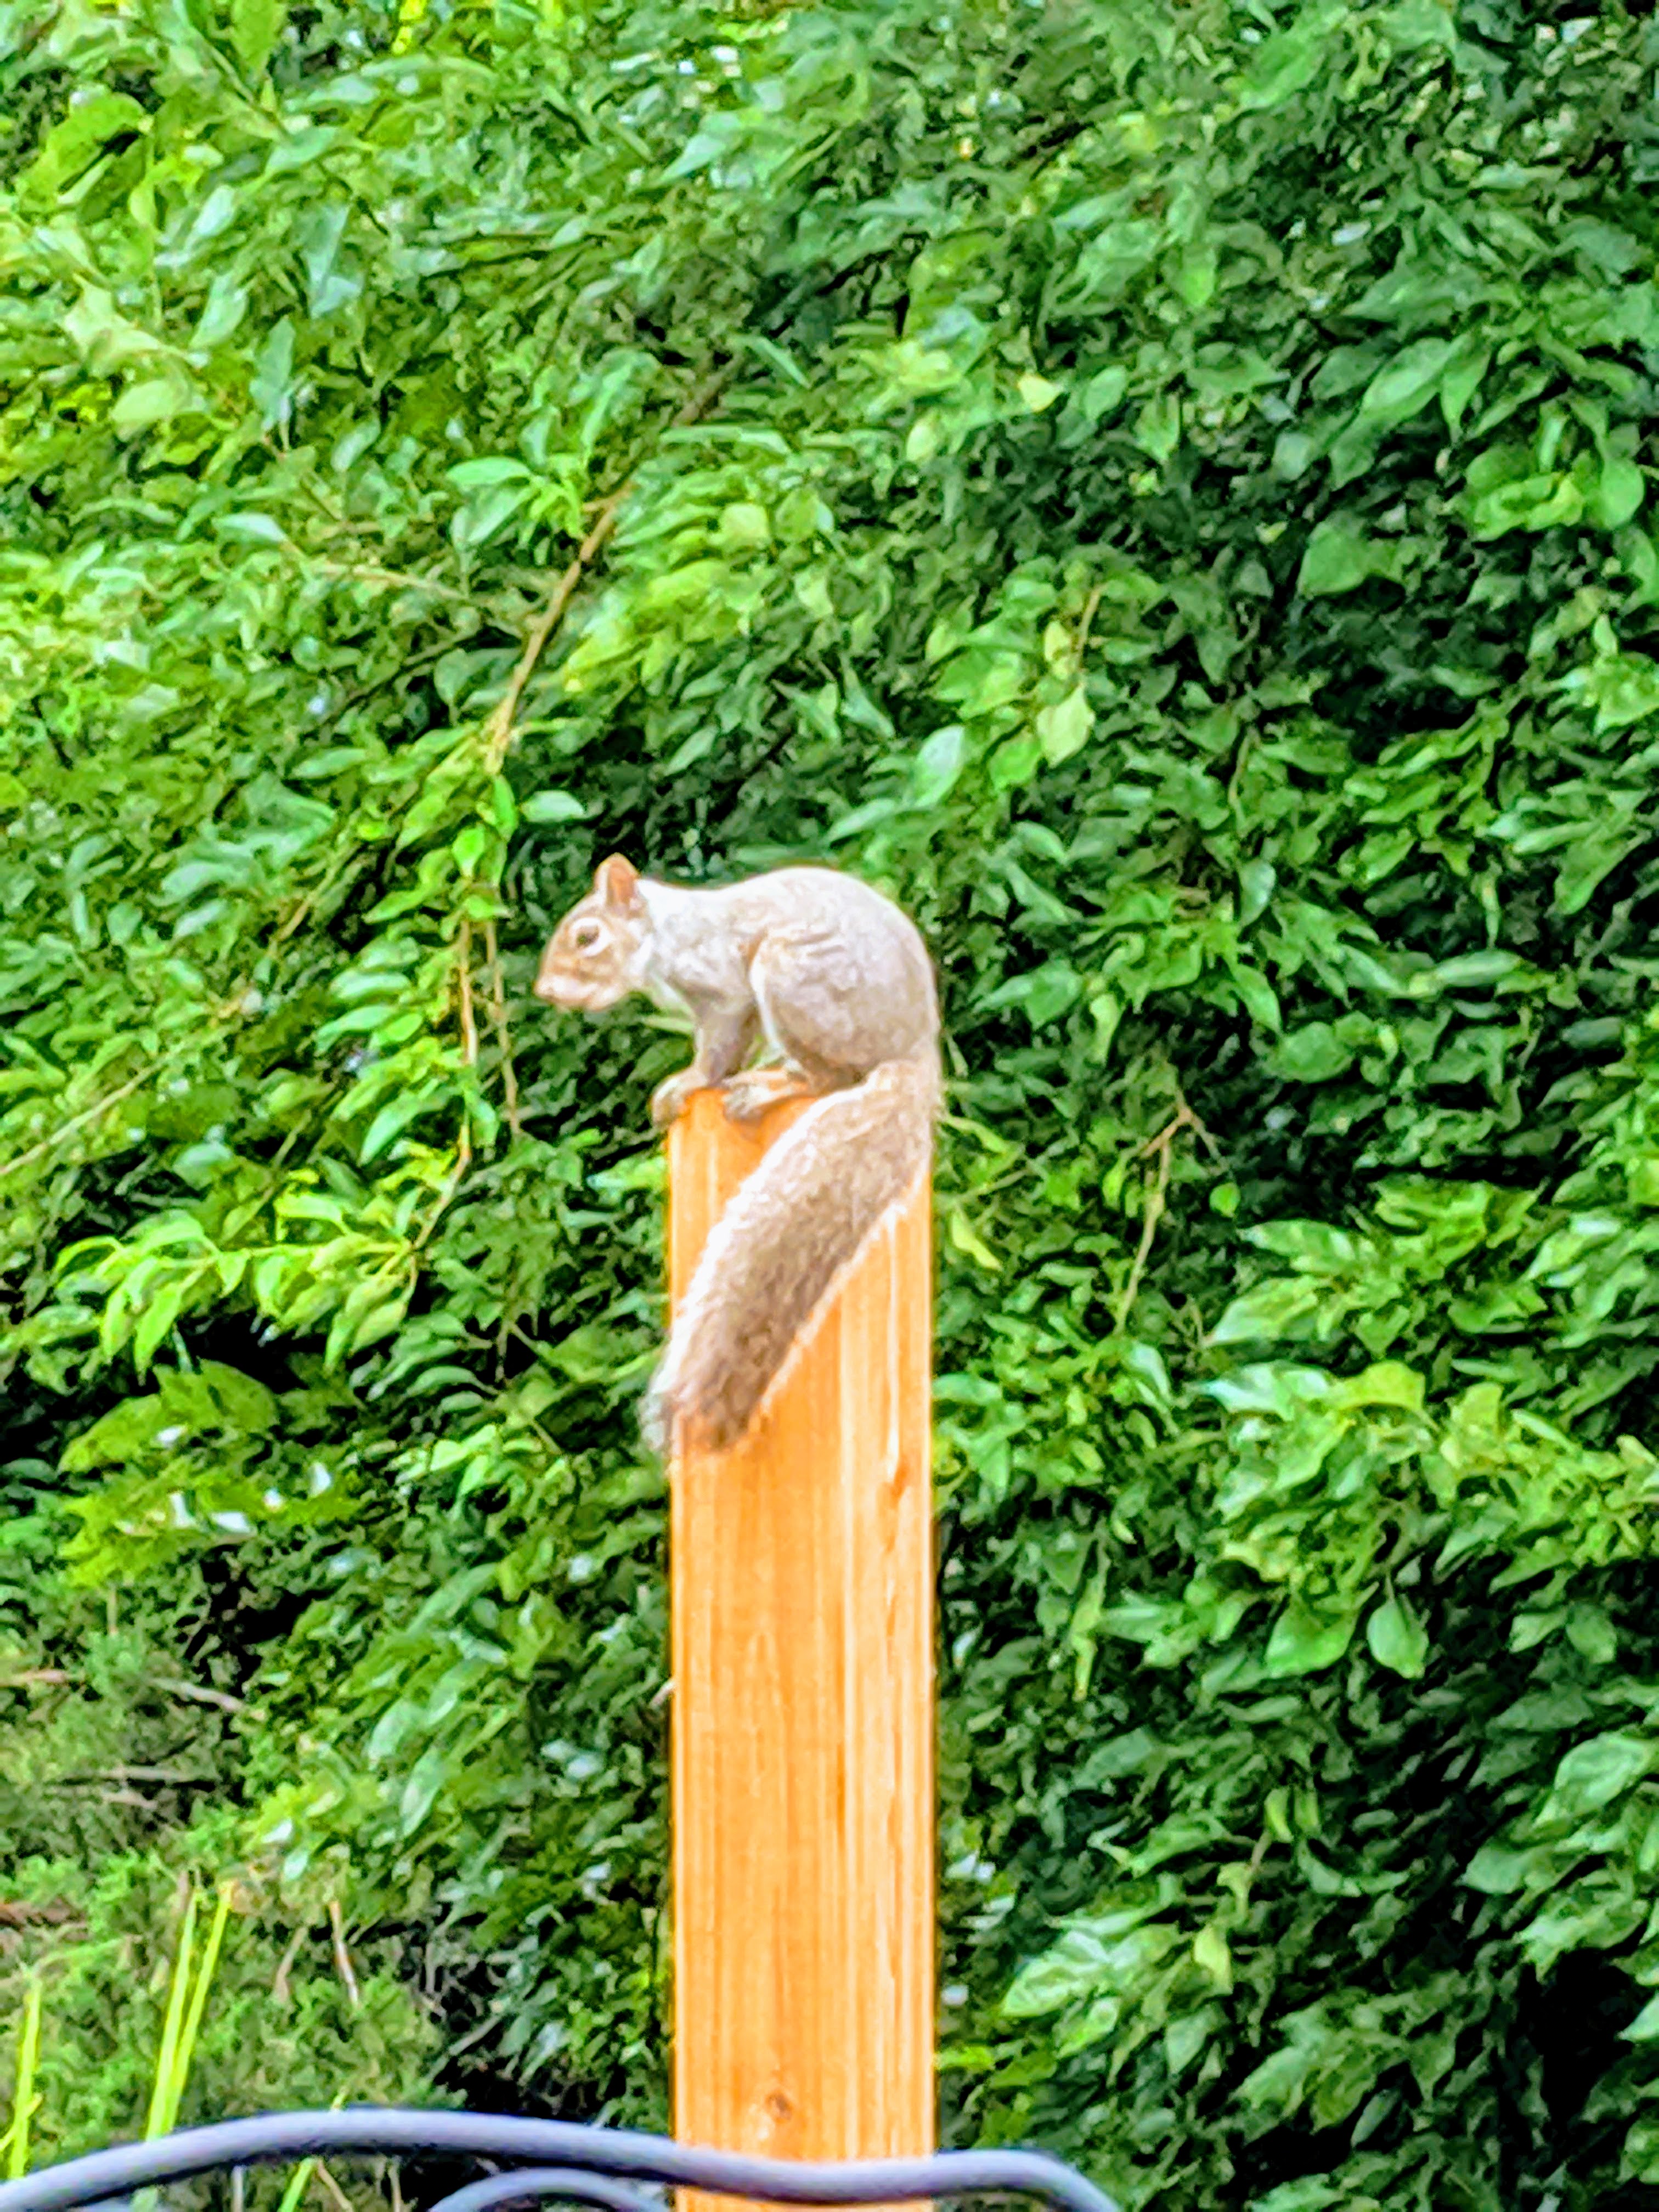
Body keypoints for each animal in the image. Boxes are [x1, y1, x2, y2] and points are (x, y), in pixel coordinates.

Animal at [534, 855, 940, 1454]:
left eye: (588, 936)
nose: (545, 991)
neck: (666, 932)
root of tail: (915, 1056)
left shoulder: (721, 986)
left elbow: (719, 1048)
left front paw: (687, 1084)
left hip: (793, 976)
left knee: (830, 1079)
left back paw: (771, 1086)